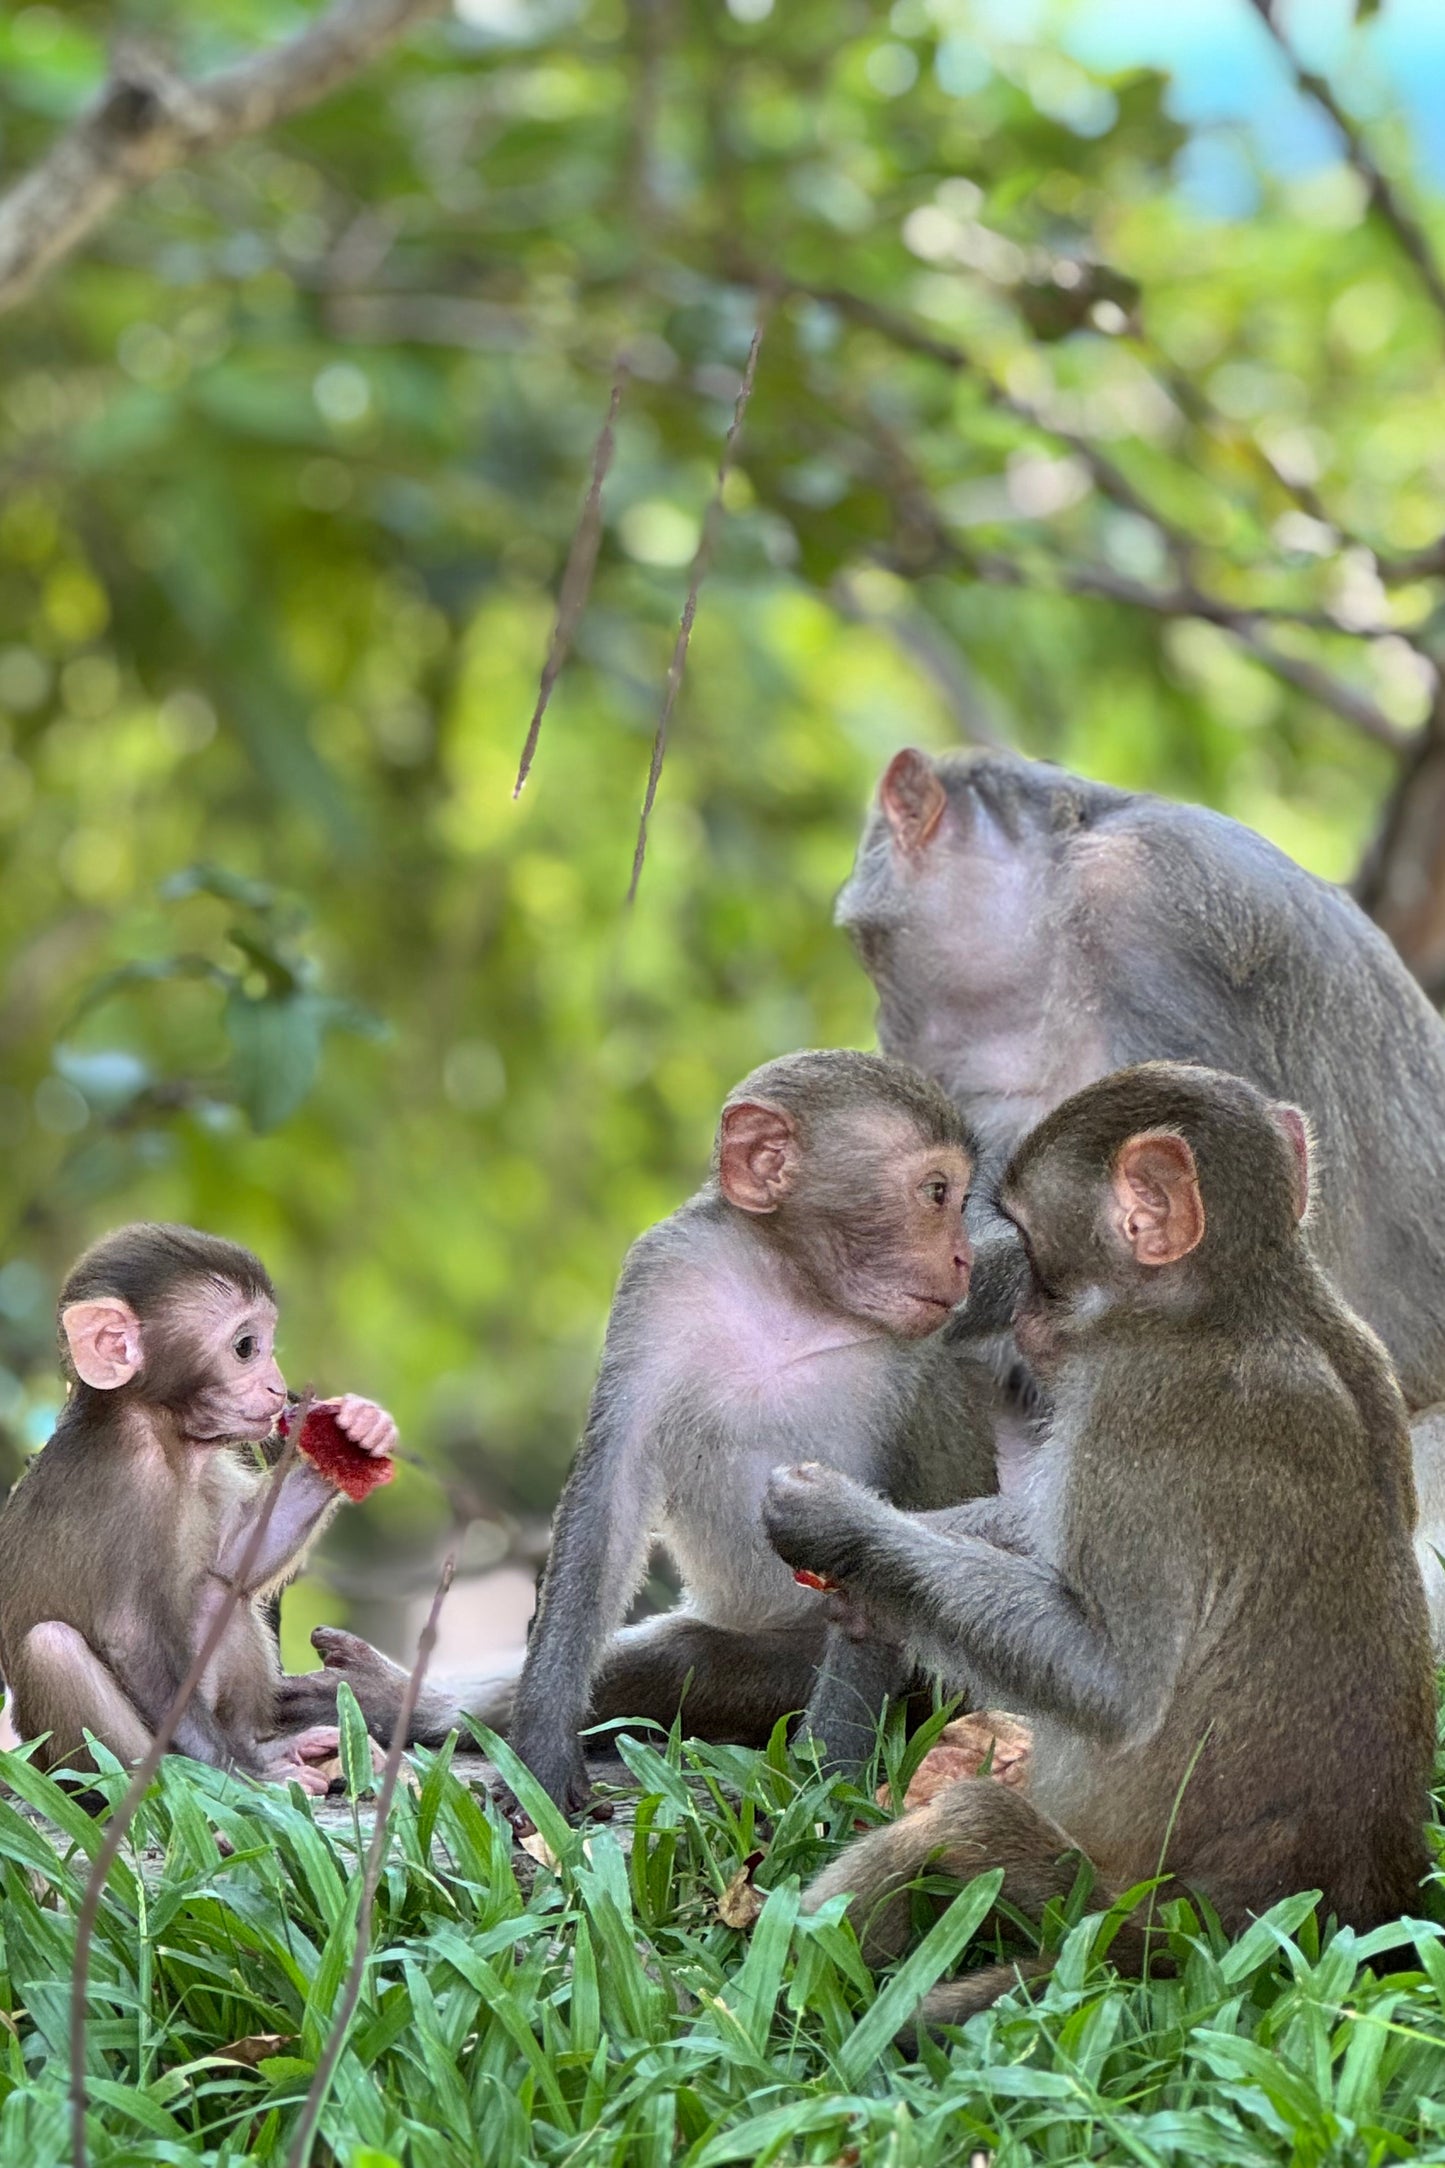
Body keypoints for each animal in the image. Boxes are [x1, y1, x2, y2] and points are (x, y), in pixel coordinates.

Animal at [0, 1222, 398, 1794]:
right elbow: (129, 1636)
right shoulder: (131, 1474)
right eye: (246, 1347)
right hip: (65, 1755)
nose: (278, 1387)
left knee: (217, 1589)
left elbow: (237, 1559)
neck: (161, 1429)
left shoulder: (203, 1470)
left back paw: (274, 1745)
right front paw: (245, 1779)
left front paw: (353, 1435)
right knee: (52, 1648)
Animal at [277, 1052, 1001, 1806]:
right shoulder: (665, 1272)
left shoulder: (914, 1366)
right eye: (937, 1193)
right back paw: (416, 1708)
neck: (791, 1294)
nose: (964, 1260)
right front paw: (539, 1757)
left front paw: (819, 1792)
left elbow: (871, 1567)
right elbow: (610, 1494)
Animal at [761, 1063, 1435, 2028]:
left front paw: (840, 1529)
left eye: (1031, 1246)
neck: (1234, 1303)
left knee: (966, 1822)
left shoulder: (1140, 1416)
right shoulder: (1359, 1341)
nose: (1017, 1312)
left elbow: (1112, 1685)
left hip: (1099, 1907)